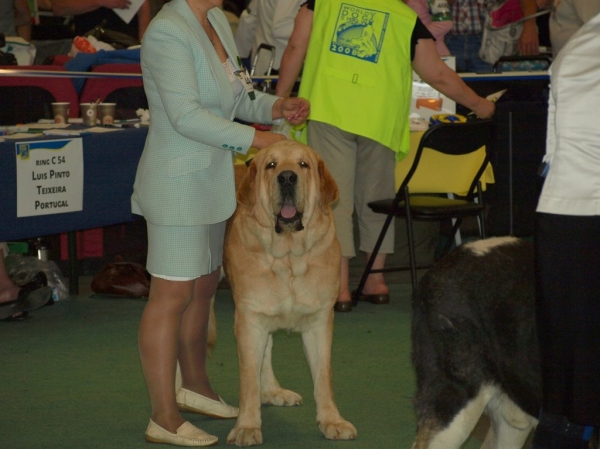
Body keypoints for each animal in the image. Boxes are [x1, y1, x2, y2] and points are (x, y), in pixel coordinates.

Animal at [224, 140, 356, 444]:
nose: (286, 177)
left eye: (303, 164)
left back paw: (272, 391)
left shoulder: (319, 322)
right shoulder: (248, 319)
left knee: (267, 351)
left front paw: (332, 420)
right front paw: (247, 426)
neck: (288, 257)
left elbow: (323, 377)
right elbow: (248, 380)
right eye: (271, 165)